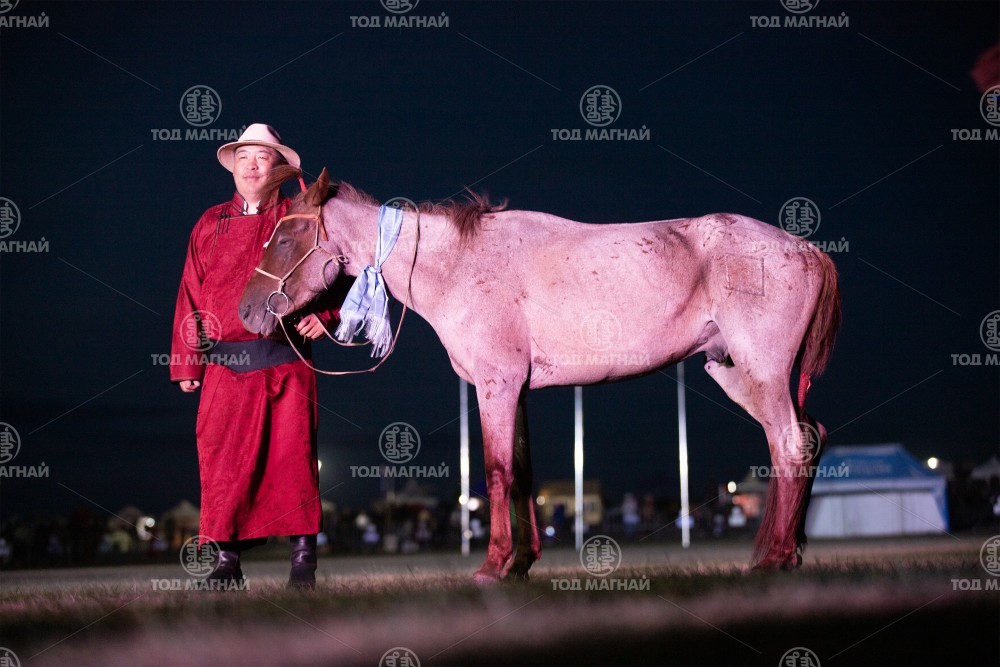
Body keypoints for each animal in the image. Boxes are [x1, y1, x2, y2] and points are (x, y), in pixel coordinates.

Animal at [239, 165, 841, 582]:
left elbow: (498, 471)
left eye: (285, 238)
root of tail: (809, 250)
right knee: (806, 438)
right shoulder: (518, 389)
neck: (459, 263)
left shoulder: (496, 385)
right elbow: (522, 471)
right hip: (734, 373)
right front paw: (522, 563)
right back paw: (784, 553)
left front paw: (493, 565)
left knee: (790, 444)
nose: (246, 312)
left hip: (761, 371)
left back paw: (775, 559)